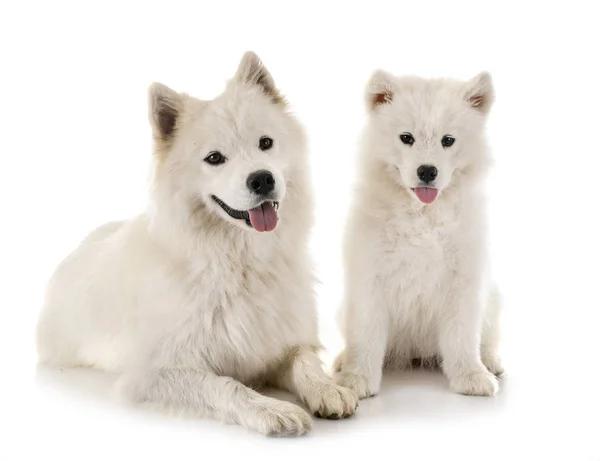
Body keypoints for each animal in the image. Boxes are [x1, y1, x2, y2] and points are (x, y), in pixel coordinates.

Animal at [38, 51, 356, 434]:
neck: (240, 264)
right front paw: (273, 410)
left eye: (265, 143)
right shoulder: (153, 374)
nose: (262, 179)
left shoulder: (281, 346)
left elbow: (305, 362)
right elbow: (226, 385)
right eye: (215, 158)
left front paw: (328, 389)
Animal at [336, 70, 504, 398]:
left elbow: (463, 337)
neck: (423, 216)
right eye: (406, 138)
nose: (427, 171)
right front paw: (357, 379)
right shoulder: (370, 280)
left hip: (493, 299)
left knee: (487, 338)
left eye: (448, 140)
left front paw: (471, 376)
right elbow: (366, 335)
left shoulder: (463, 281)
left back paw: (491, 362)